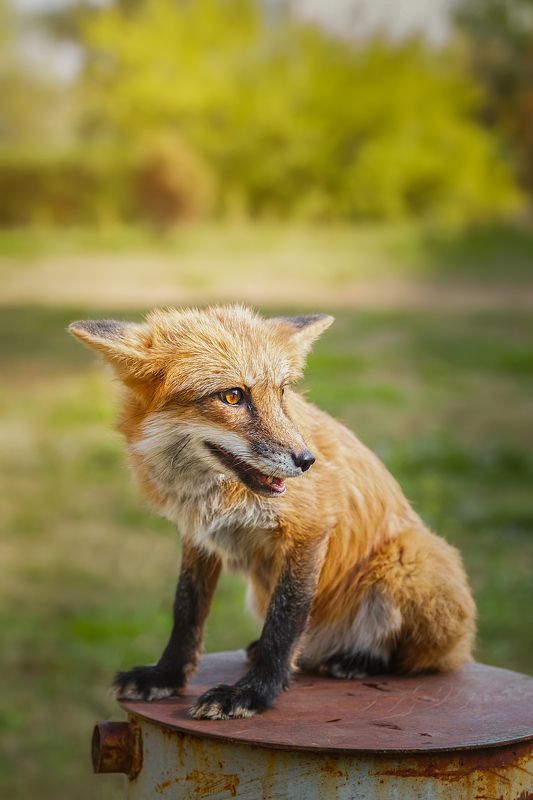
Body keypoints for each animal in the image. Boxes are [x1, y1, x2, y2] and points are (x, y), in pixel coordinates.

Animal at [69, 305, 476, 720]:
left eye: (281, 392)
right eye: (232, 395)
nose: (308, 460)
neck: (213, 493)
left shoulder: (309, 530)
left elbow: (283, 624)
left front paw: (253, 693)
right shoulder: (198, 538)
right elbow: (186, 613)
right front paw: (166, 676)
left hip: (409, 559)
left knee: (423, 660)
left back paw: (357, 660)